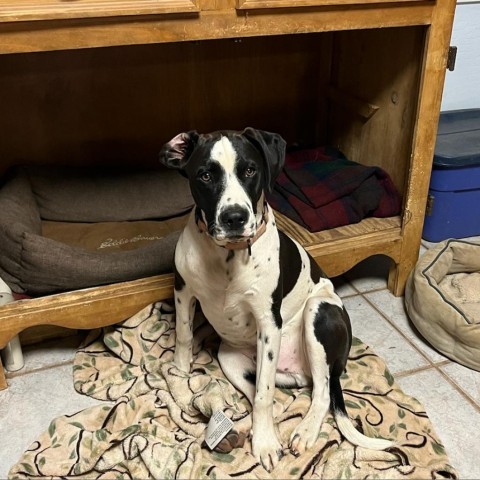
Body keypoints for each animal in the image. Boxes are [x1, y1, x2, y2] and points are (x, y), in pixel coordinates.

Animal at [159, 128, 392, 472]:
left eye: (250, 171)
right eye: (205, 175)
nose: (234, 217)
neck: (227, 257)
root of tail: (299, 371)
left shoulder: (269, 323)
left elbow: (264, 396)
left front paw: (266, 444)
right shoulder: (183, 290)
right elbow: (185, 336)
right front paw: (179, 372)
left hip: (318, 315)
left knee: (319, 393)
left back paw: (303, 432)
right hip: (230, 358)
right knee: (276, 401)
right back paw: (236, 431)